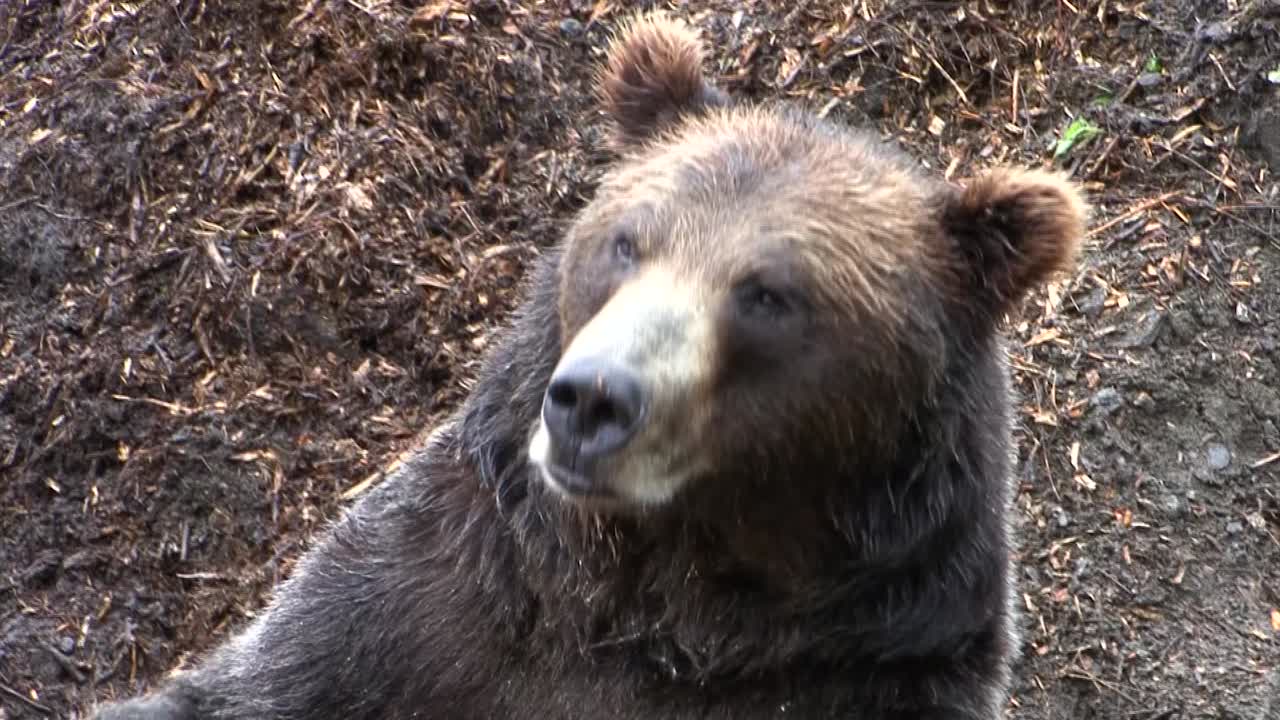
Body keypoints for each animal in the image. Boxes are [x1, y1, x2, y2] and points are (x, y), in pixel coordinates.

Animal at [91, 11, 1086, 720]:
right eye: (626, 241)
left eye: (768, 294)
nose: (592, 400)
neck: (659, 604)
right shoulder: (434, 601)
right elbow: (247, 681)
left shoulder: (865, 672)